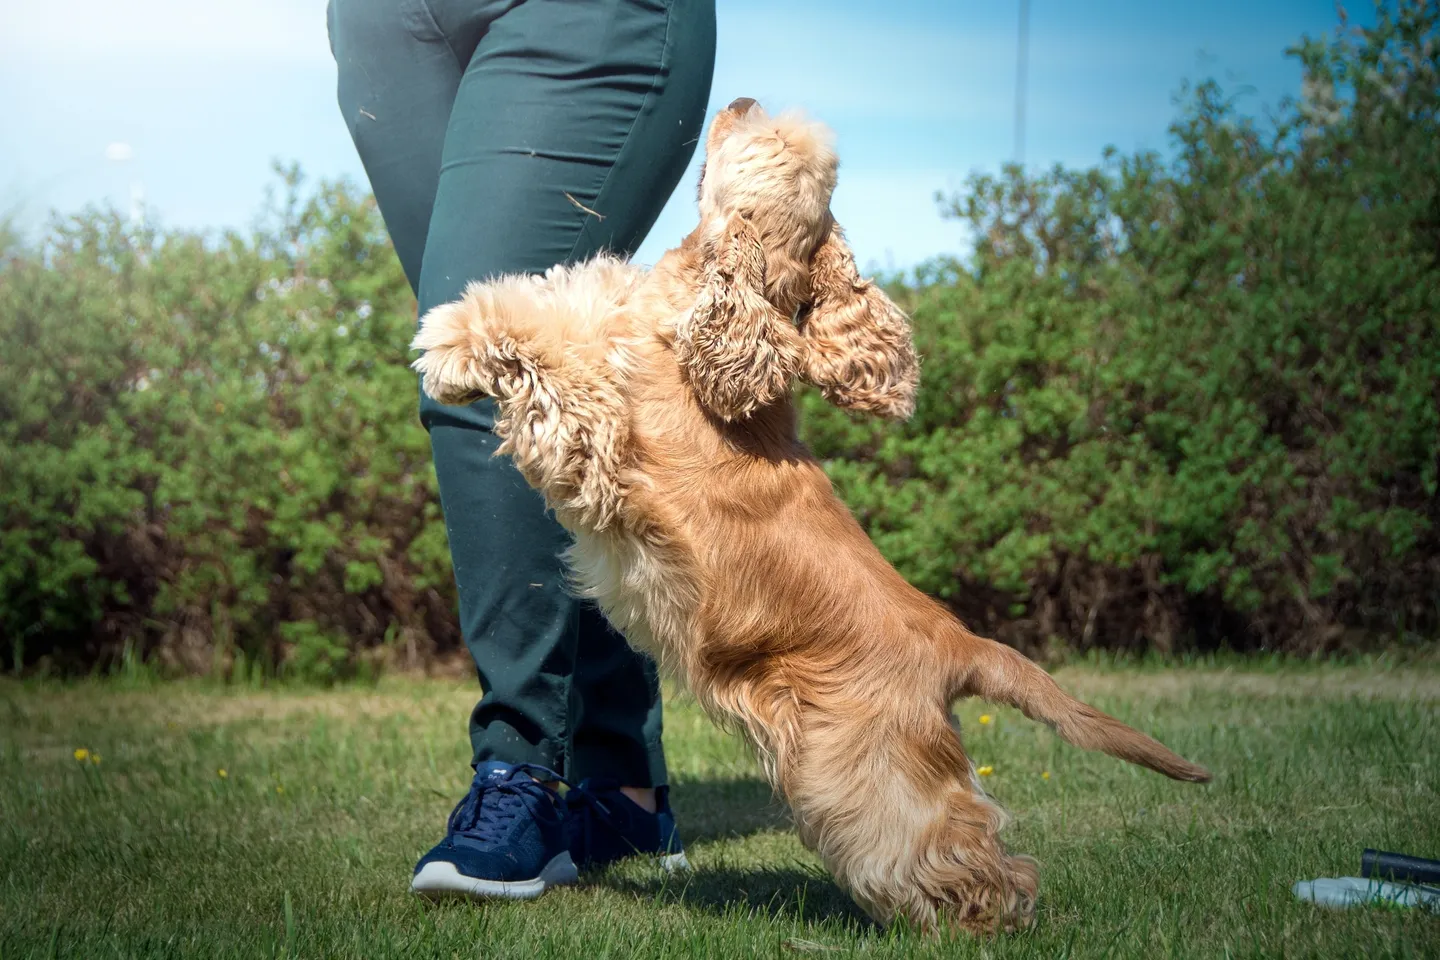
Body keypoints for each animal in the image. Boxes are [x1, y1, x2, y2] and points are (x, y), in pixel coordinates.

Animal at [411, 99, 1209, 938]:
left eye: (760, 141)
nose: (737, 102)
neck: (711, 318)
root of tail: (959, 643)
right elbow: (564, 297)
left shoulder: (595, 432)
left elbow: (543, 345)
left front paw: (448, 346)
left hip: (863, 771)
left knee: (970, 855)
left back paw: (974, 920)